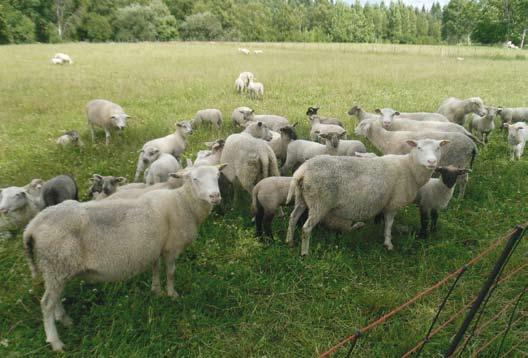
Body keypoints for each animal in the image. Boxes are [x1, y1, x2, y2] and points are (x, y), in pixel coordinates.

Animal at [23, 164, 226, 352]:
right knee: (47, 303)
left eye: (217, 176)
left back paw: (65, 320)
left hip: (55, 268)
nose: (215, 196)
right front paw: (172, 295)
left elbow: (155, 268)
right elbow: (170, 273)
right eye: (194, 179)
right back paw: (56, 342)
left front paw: (156, 290)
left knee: (54, 298)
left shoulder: (155, 247)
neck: (183, 202)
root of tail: (32, 227)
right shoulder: (172, 247)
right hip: (57, 264)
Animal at [286, 138, 448, 256]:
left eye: (438, 148)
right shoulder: (393, 204)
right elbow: (389, 225)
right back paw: (304, 253)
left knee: (293, 218)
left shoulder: (384, 203)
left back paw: (289, 241)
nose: (432, 162)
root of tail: (302, 171)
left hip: (302, 198)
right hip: (319, 202)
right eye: (419, 148)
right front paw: (388, 244)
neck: (409, 168)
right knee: (306, 228)